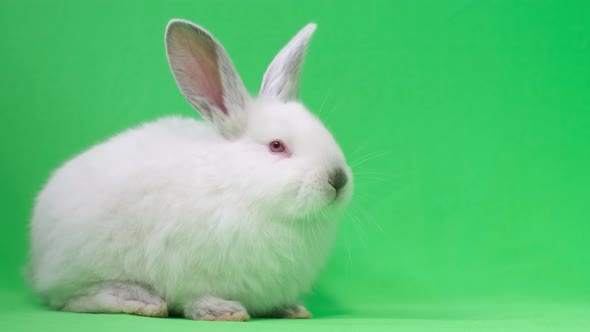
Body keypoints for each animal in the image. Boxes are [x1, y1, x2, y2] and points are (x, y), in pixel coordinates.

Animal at [30, 18, 354, 322]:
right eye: (277, 146)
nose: (337, 179)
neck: (236, 184)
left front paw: (291, 309)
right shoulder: (187, 272)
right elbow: (196, 297)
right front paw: (222, 311)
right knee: (71, 300)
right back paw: (139, 299)